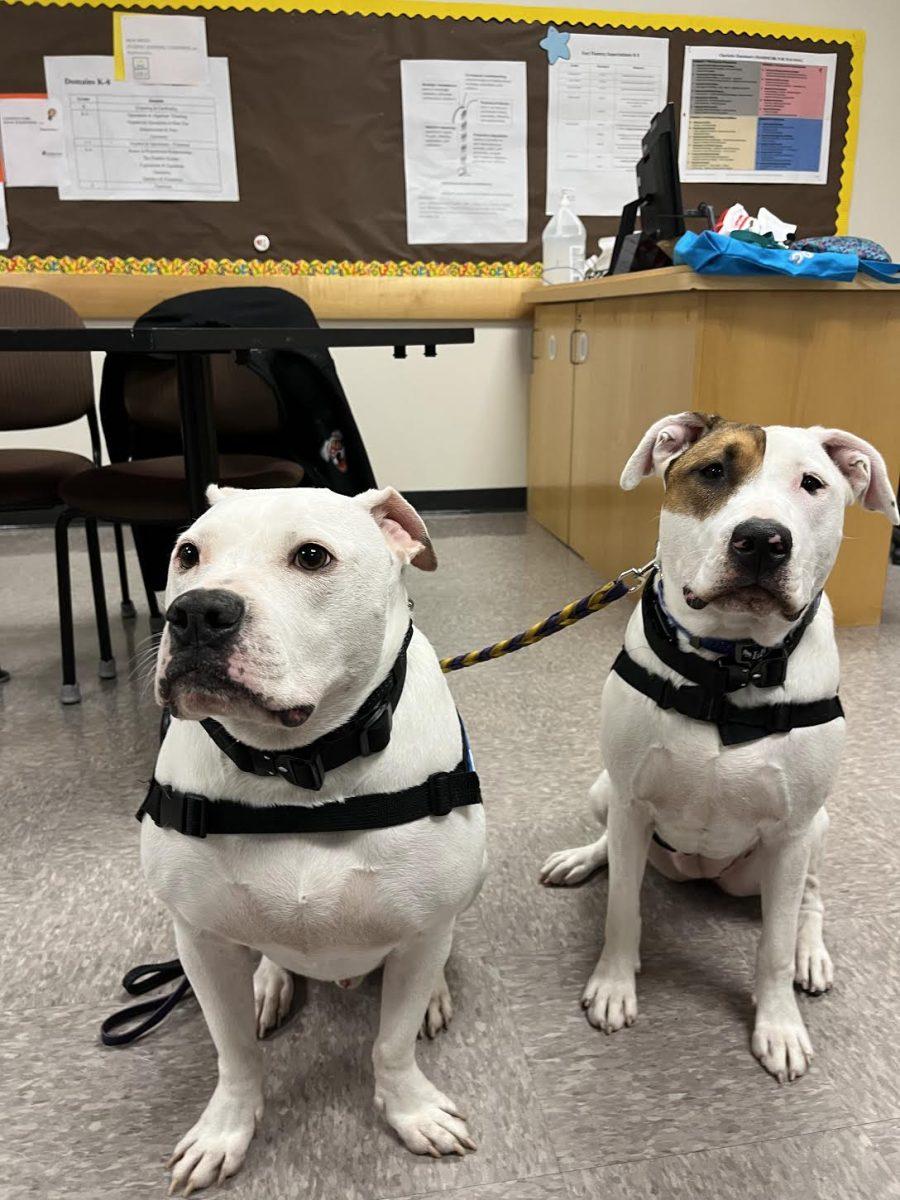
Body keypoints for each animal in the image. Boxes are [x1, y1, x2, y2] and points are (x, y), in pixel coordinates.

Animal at [144, 484, 489, 1190]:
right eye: (187, 553)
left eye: (311, 556)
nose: (197, 613)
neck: (301, 768)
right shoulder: (198, 940)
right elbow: (233, 1054)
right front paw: (224, 1130)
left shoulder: (421, 929)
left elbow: (391, 1042)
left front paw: (411, 1111)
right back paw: (269, 983)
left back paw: (435, 995)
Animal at [542, 417, 900, 1084]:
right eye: (713, 472)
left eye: (812, 483)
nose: (762, 540)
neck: (730, 669)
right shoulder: (632, 800)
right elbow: (622, 909)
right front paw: (614, 984)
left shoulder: (791, 832)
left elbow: (774, 946)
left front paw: (779, 1024)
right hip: (607, 793)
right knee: (614, 846)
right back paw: (584, 858)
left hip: (810, 833)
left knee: (810, 898)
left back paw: (812, 954)